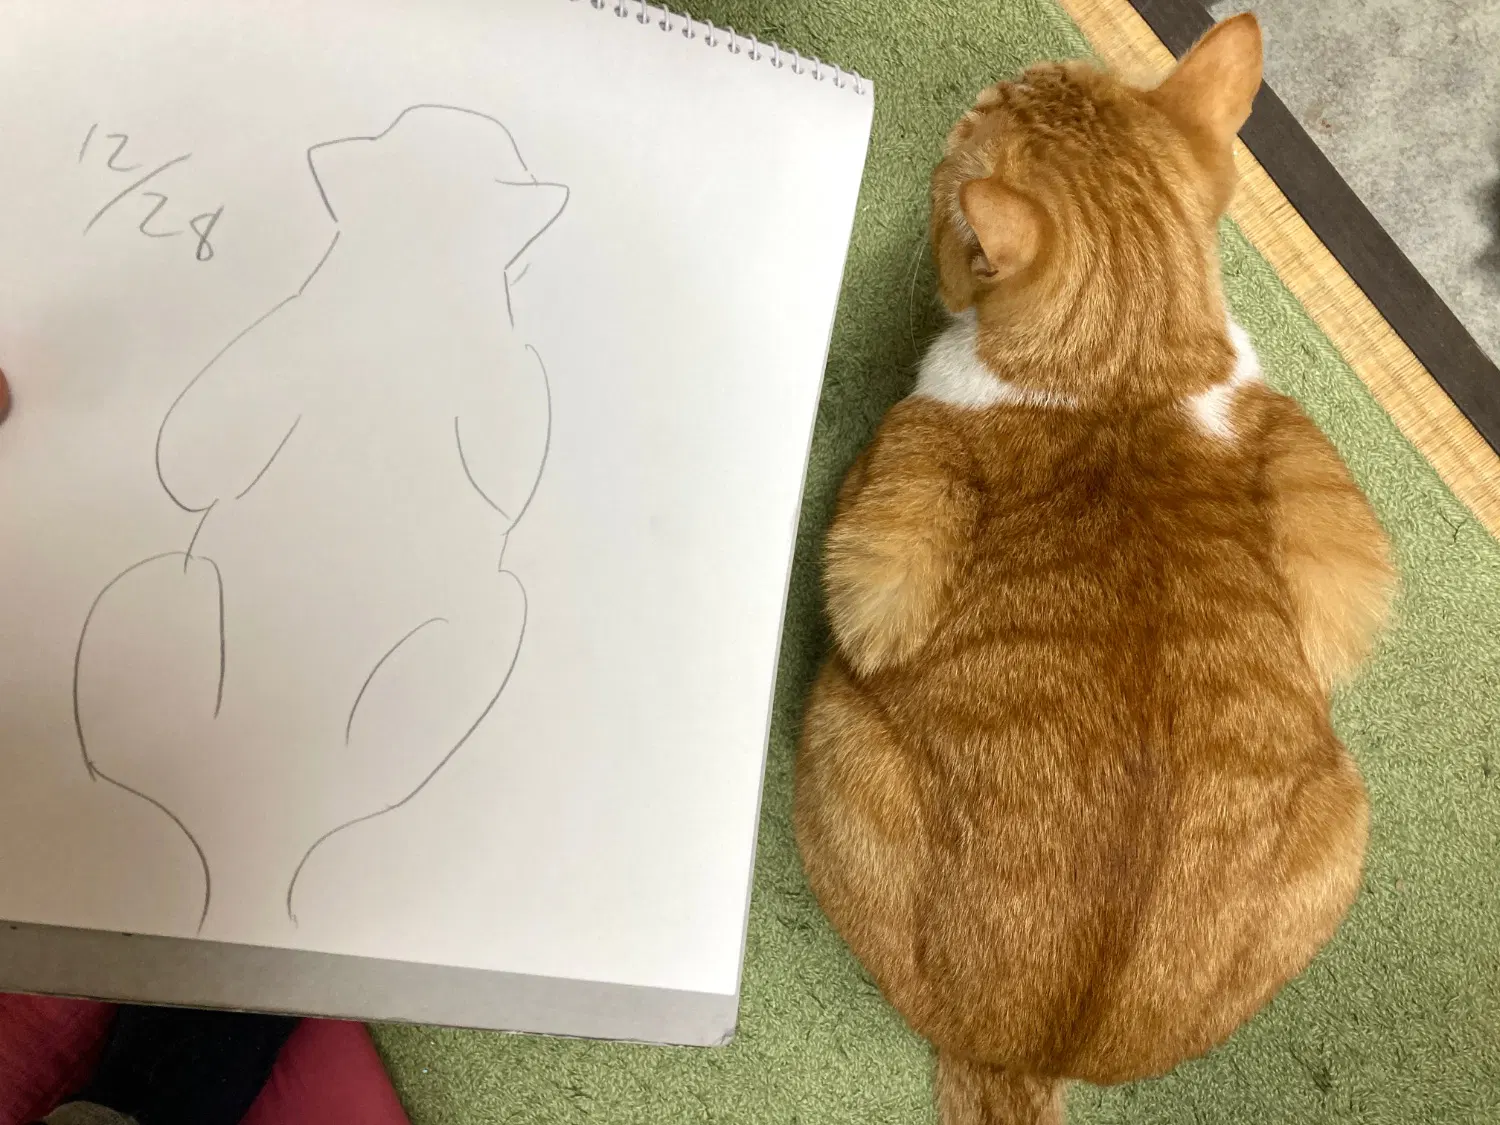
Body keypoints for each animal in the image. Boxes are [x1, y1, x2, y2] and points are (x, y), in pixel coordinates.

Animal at [793, 15, 1395, 1125]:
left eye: (949, 158)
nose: (996, 78)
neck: (1126, 371)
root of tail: (1030, 1052)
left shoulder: (886, 524)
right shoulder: (1330, 521)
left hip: (838, 727)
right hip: (1345, 820)